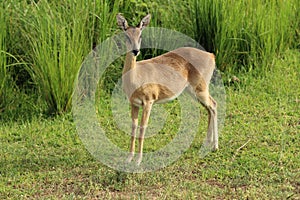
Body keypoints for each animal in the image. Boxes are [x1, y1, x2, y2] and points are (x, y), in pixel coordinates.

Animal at [116, 13, 218, 165]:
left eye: (140, 35)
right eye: (126, 36)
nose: (135, 51)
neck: (136, 76)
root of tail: (211, 55)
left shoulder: (148, 102)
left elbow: (143, 127)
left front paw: (138, 160)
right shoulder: (134, 103)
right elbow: (133, 127)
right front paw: (129, 158)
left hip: (201, 90)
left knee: (214, 105)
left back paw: (215, 146)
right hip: (194, 92)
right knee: (209, 109)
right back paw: (207, 143)